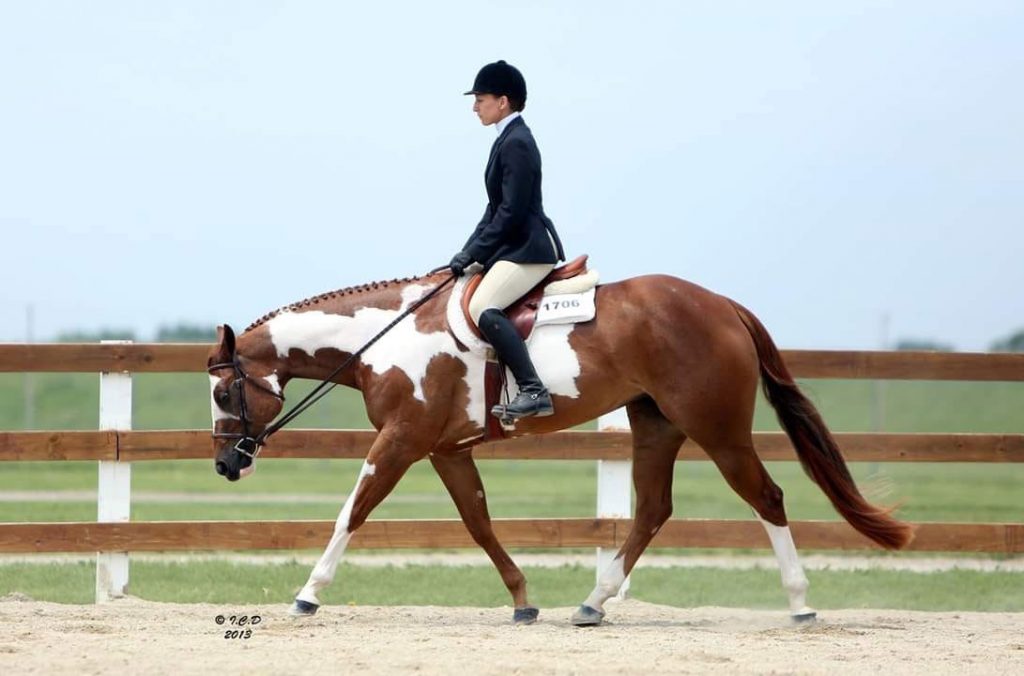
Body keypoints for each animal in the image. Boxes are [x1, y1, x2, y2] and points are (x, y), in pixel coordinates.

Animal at [206, 267, 913, 626]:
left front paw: (308, 593)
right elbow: (479, 522)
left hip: (716, 427)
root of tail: (722, 304)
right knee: (653, 510)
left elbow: (352, 511)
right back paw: (593, 603)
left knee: (766, 496)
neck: (388, 337)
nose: (224, 464)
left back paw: (800, 604)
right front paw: (523, 601)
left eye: (223, 393)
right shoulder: (445, 449)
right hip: (657, 425)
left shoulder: (402, 439)